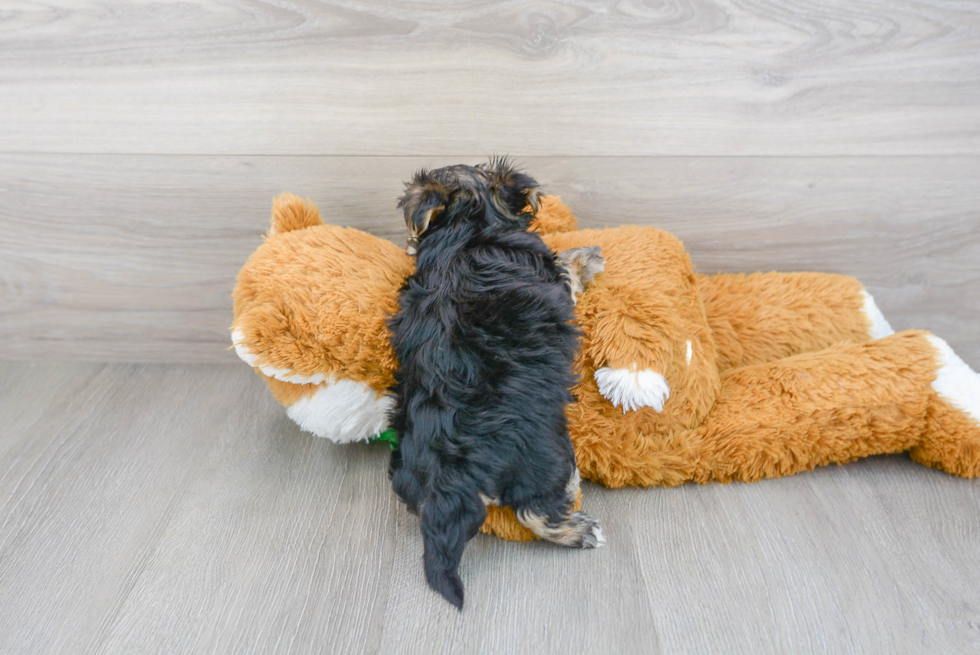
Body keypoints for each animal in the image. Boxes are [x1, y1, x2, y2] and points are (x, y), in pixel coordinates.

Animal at [384, 159, 600, 608]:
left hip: (408, 473)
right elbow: (566, 269)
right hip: (543, 455)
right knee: (536, 509)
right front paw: (586, 257)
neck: (470, 227)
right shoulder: (552, 276)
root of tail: (451, 468)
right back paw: (577, 521)